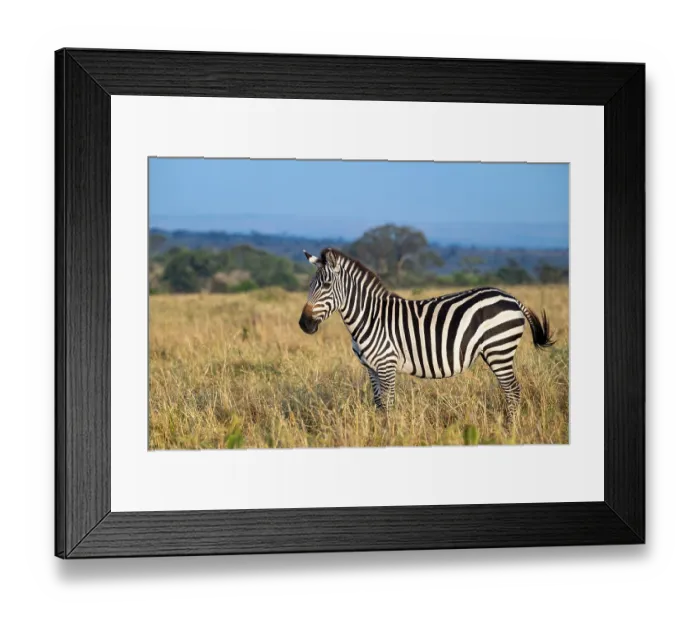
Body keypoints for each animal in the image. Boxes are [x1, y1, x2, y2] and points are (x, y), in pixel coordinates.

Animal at [298, 247, 554, 422]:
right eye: (309, 285)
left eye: (326, 286)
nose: (304, 324)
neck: (369, 317)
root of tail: (511, 297)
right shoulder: (371, 368)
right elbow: (379, 403)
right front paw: (381, 430)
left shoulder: (387, 364)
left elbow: (389, 404)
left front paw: (390, 433)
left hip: (499, 349)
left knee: (512, 391)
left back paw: (511, 429)